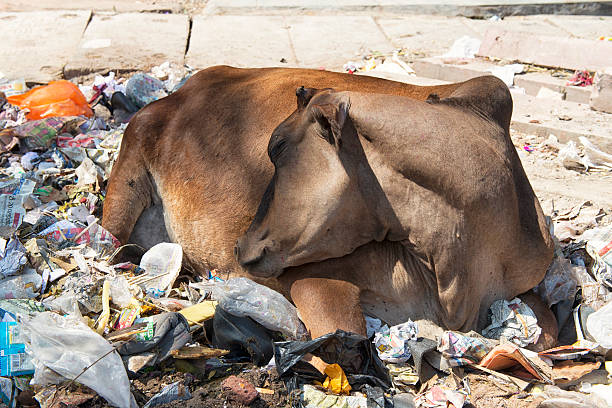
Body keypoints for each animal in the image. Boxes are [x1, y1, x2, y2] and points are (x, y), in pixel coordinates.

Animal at [103, 66, 556, 350]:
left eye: (277, 147)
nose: (240, 248)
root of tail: (184, 88)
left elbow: (548, 328)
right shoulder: (316, 278)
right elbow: (344, 330)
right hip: (126, 183)